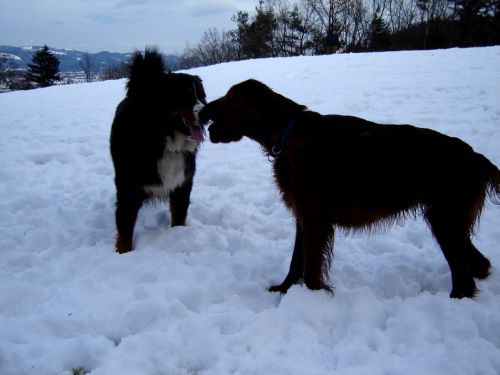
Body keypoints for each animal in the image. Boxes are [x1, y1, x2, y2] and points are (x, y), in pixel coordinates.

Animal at [110, 47, 206, 253]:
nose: (207, 114)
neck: (165, 141)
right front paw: (123, 254)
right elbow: (125, 228)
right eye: (185, 95)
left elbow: (179, 216)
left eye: (201, 95)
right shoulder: (128, 190)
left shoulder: (182, 184)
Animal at [200, 79, 500, 300]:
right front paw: (284, 290)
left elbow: (310, 269)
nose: (202, 110)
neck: (287, 133)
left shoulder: (314, 219)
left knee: (464, 274)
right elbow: (296, 262)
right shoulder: (304, 216)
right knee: (480, 263)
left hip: (445, 220)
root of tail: (478, 158)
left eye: (228, 98)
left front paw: (313, 298)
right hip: (446, 220)